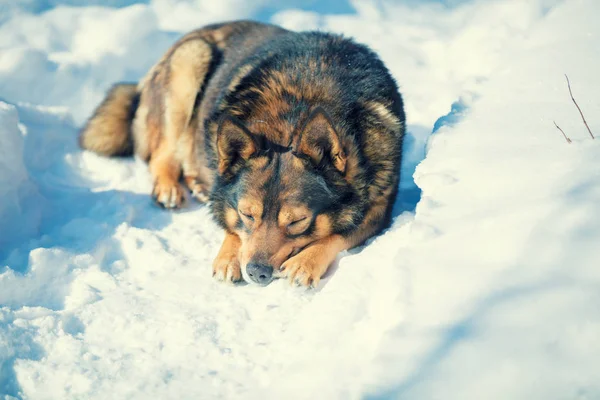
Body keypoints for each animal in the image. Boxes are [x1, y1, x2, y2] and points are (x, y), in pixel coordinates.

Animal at [79, 20, 406, 288]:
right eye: (247, 214)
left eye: (297, 221)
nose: (257, 272)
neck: (298, 110)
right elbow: (228, 217)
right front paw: (229, 256)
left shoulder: (378, 211)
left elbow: (337, 233)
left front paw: (305, 262)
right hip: (190, 61)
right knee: (163, 154)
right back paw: (170, 188)